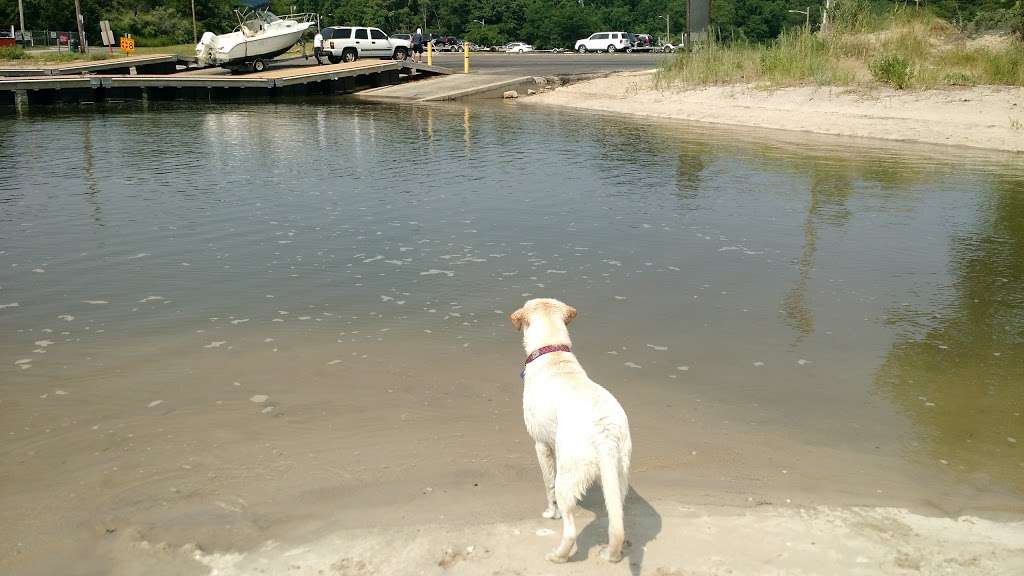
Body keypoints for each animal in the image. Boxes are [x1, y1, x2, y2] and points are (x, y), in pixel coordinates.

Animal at [512, 295, 630, 561]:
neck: (553, 352)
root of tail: (605, 433)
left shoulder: (541, 445)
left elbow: (548, 484)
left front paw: (550, 513)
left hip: (569, 475)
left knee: (570, 529)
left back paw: (558, 556)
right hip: (619, 474)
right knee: (616, 519)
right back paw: (612, 552)